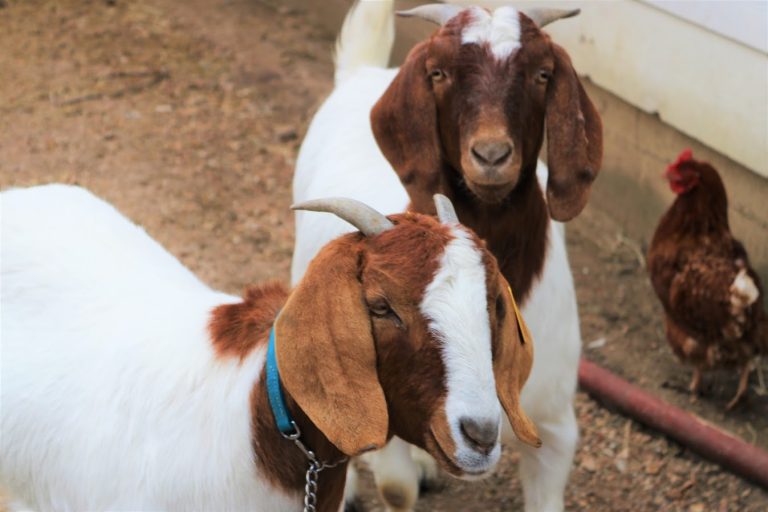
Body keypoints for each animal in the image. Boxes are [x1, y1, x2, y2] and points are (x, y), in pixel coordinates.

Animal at [291, 2, 603, 511]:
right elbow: (396, 487)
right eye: (437, 72)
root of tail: (362, 72)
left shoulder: (555, 425)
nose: (491, 155)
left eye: (542, 73)